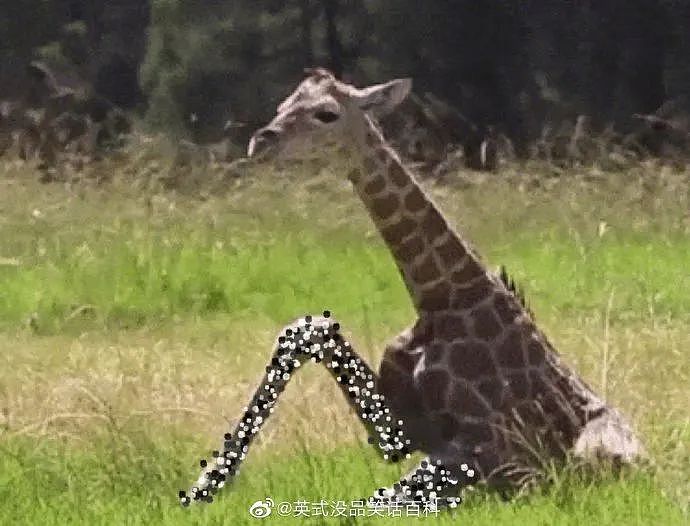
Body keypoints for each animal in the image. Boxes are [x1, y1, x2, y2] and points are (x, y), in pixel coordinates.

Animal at [181, 69, 640, 508]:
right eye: (282, 105)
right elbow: (308, 326)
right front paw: (206, 483)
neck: (441, 297)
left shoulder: (484, 451)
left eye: (327, 113)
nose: (262, 140)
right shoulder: (402, 434)